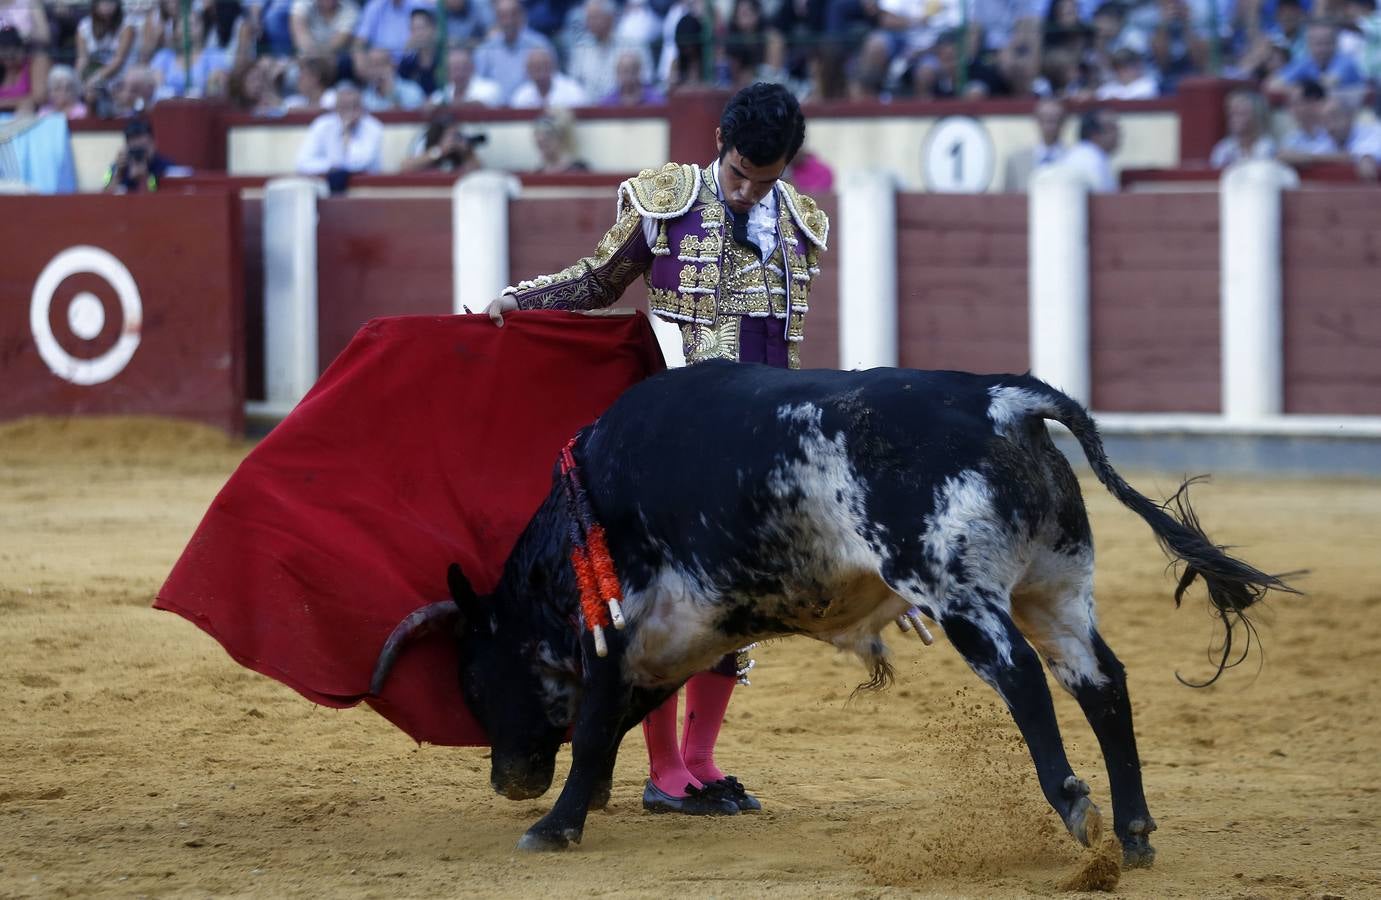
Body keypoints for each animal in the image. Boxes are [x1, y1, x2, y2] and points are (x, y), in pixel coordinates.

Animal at [370, 358, 1292, 866]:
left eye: (475, 682)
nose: (508, 781)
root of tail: (1001, 400)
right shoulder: (682, 632)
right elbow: (627, 716)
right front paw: (591, 803)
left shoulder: (620, 631)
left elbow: (598, 721)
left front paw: (556, 826)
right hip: (1055, 587)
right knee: (1101, 683)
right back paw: (1132, 832)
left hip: (957, 591)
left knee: (1023, 678)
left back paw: (1073, 804)